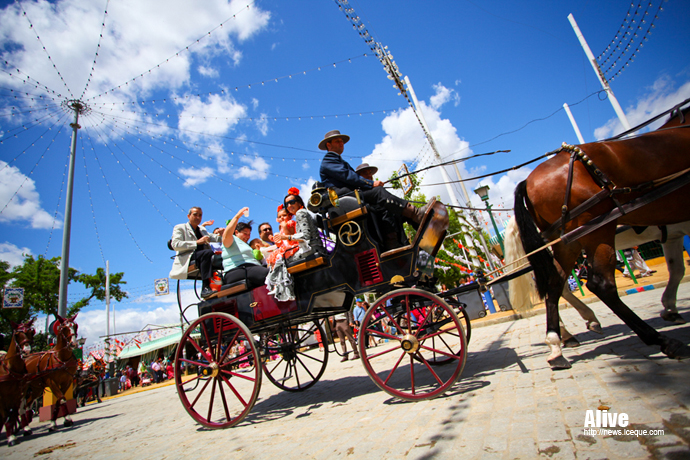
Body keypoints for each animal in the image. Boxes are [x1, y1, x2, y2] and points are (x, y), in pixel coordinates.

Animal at [508, 101, 688, 370]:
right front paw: (670, 311)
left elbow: (677, 268)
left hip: (567, 243)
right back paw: (660, 340)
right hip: (596, 231)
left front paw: (670, 309)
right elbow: (677, 268)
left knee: (556, 284)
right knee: (599, 284)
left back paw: (560, 341)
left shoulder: (674, 232)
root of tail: (528, 181)